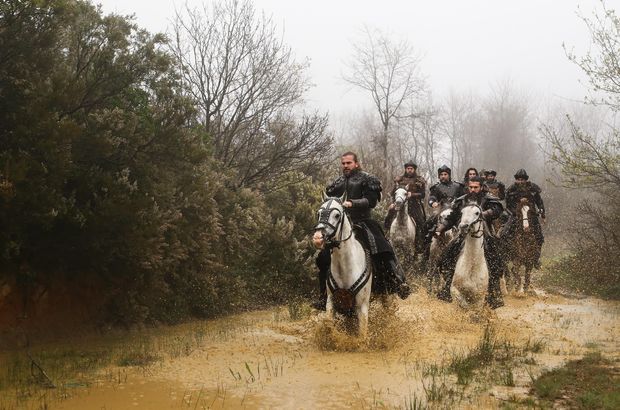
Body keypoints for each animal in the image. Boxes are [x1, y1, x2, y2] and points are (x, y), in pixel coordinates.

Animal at [312, 197, 370, 338]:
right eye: (319, 214)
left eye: (337, 215)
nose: (317, 238)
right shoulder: (331, 302)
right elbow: (329, 324)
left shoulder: (362, 307)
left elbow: (362, 334)